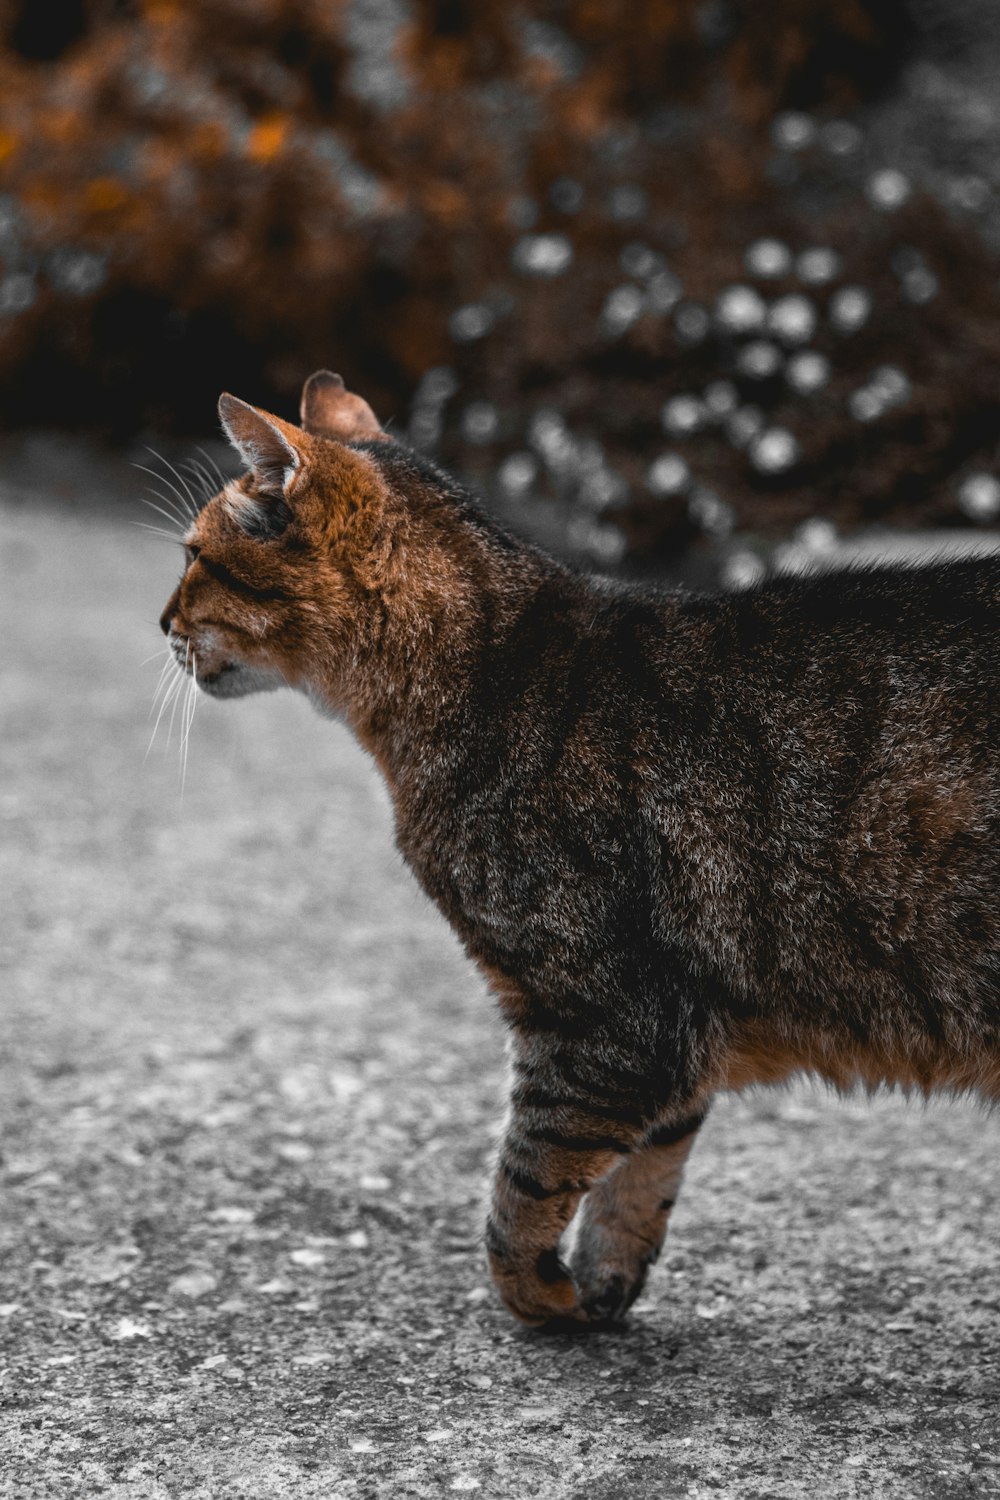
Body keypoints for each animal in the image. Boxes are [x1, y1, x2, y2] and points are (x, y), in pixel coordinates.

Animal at [160, 372, 1000, 1326]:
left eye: (194, 557)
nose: (160, 622)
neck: (478, 676)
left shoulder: (600, 1026)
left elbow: (522, 1187)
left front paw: (536, 1294)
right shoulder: (666, 1041)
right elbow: (639, 1179)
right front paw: (603, 1284)